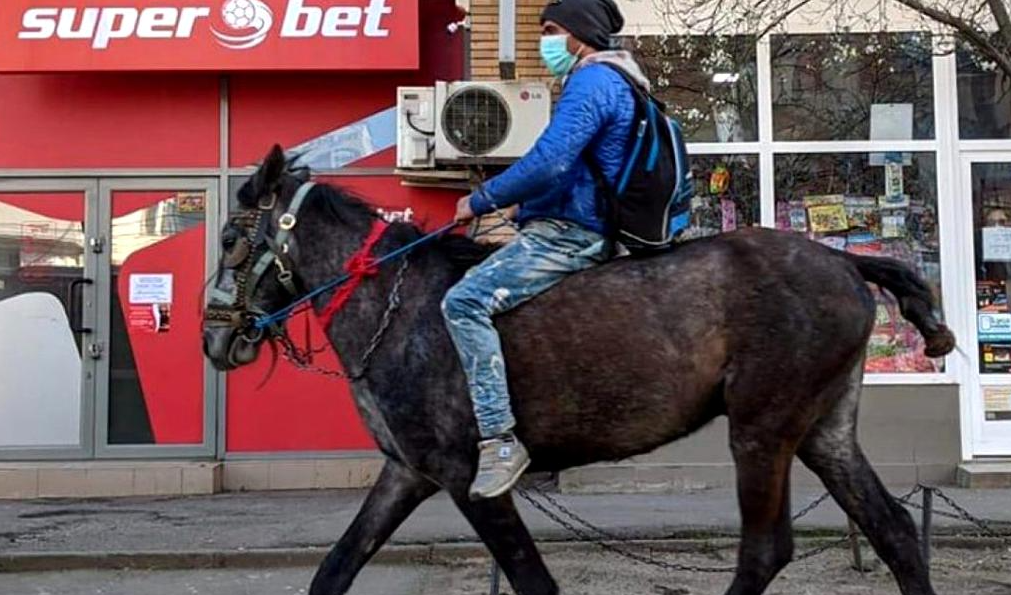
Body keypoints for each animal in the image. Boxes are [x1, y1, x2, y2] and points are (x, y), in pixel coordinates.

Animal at [203, 145, 954, 593]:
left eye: (232, 237)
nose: (214, 337)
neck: (397, 302)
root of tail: (843, 259)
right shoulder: (406, 472)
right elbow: (334, 568)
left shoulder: (465, 476)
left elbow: (532, 578)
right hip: (824, 429)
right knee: (893, 531)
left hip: (762, 430)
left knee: (767, 548)